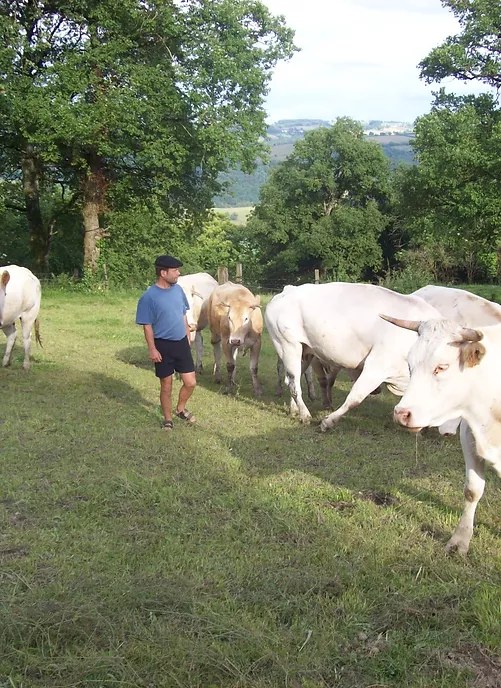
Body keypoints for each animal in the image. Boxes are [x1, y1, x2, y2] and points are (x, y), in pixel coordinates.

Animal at [264, 284, 440, 432]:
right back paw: (305, 415)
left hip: (305, 352)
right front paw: (327, 422)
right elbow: (355, 397)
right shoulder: (377, 365)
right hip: (287, 345)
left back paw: (294, 410)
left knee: (292, 380)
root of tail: (287, 290)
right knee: (294, 383)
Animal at [380, 314, 498, 556]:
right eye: (410, 364)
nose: (401, 414)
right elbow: (472, 490)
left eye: (442, 367)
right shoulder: (469, 436)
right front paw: (459, 541)